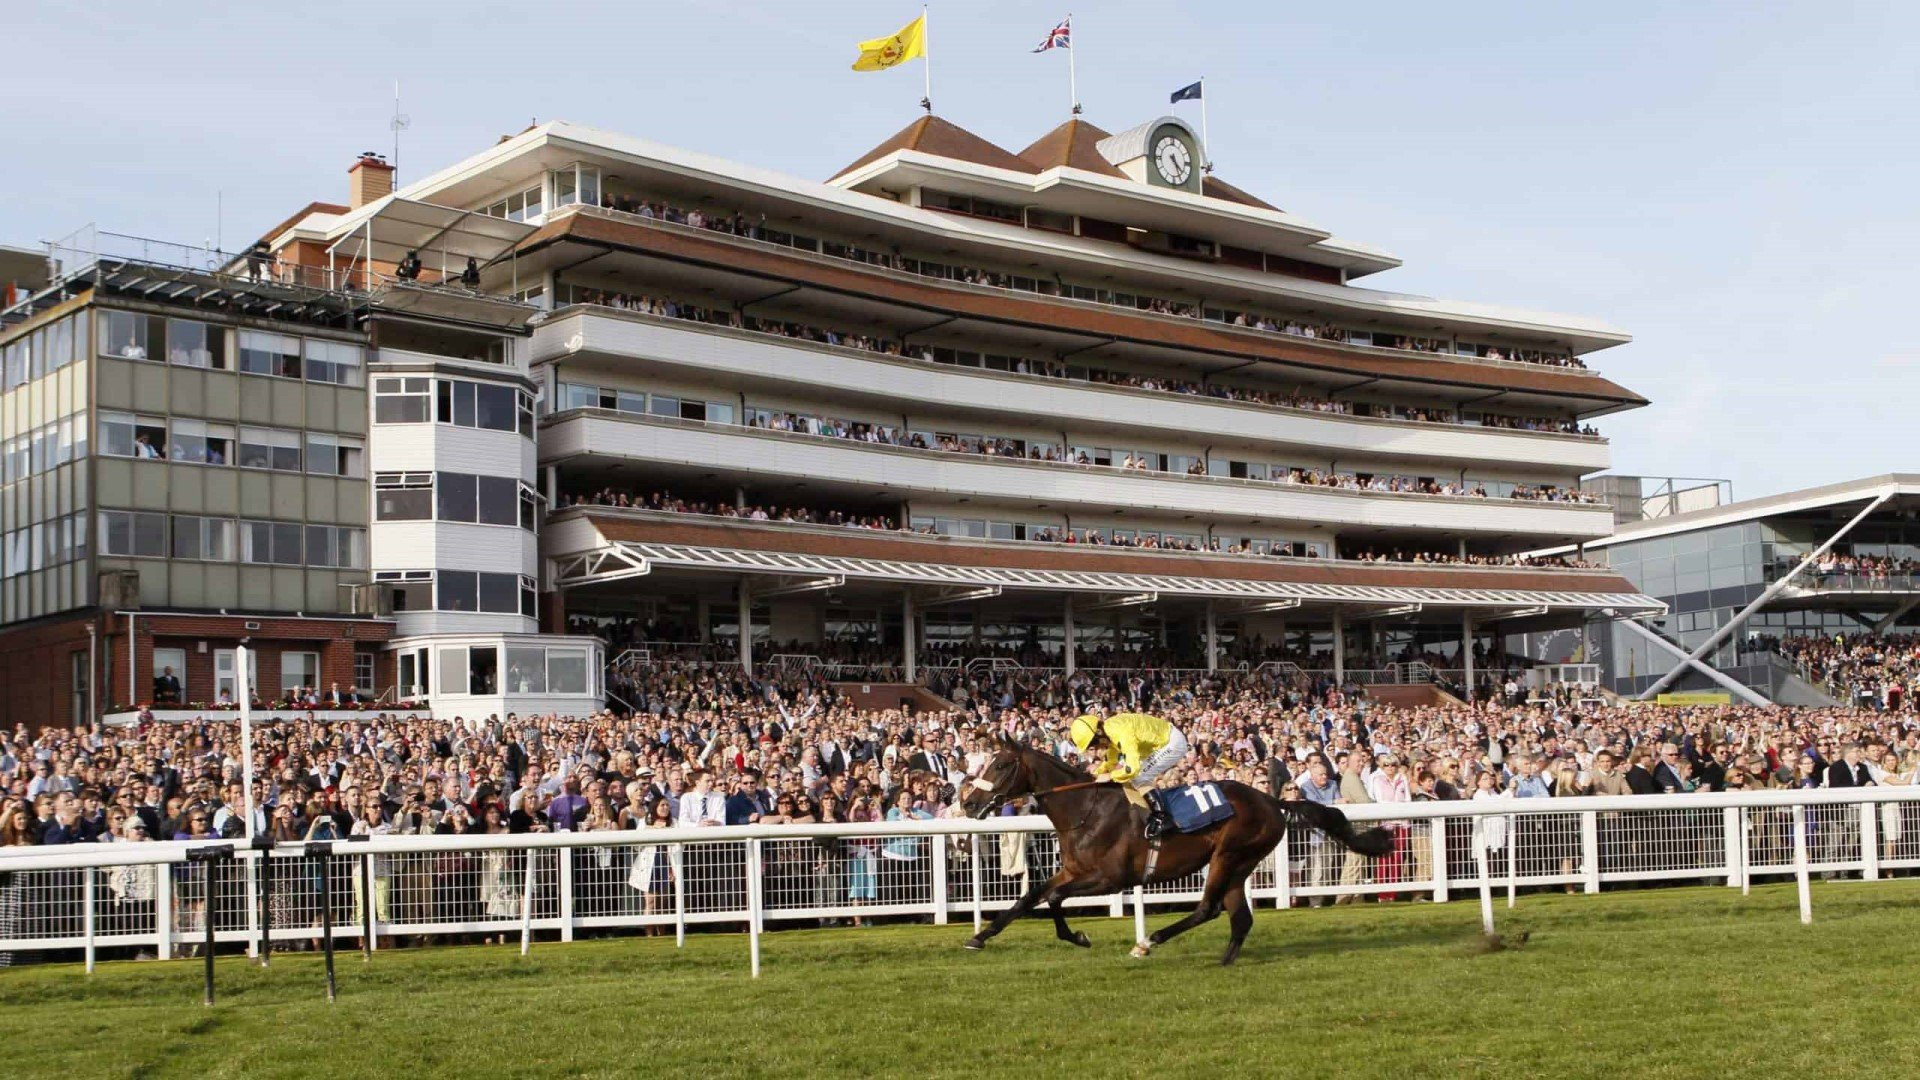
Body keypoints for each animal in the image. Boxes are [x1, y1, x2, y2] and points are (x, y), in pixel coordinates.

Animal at [956, 730, 1382, 957]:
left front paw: (1078, 936)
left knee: (1210, 908)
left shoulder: (1110, 878)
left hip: (1229, 855)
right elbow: (1031, 897)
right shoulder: (1073, 870)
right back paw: (1224, 959)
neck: (1086, 807)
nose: (969, 803)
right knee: (1238, 916)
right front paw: (978, 937)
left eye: (1000, 765)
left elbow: (1054, 898)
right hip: (1239, 863)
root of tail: (1271, 800)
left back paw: (1149, 941)